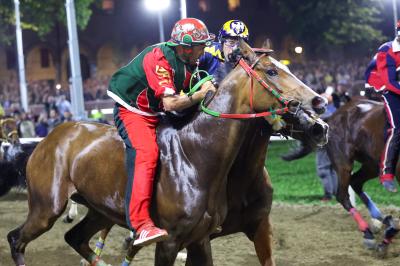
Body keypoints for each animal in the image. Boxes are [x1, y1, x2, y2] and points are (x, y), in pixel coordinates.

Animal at [7, 40, 328, 266]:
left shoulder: (205, 238)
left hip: (99, 210)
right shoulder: (170, 241)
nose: (320, 105)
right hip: (46, 207)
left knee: (74, 237)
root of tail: (47, 139)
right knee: (15, 239)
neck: (198, 156)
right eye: (272, 71)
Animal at [282, 98, 398, 258]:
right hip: (344, 162)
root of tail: (332, 117)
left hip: (372, 163)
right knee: (343, 195)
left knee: (356, 182)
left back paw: (385, 222)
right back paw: (369, 233)